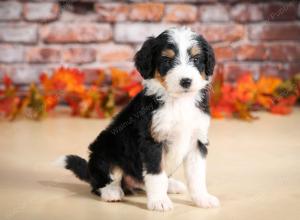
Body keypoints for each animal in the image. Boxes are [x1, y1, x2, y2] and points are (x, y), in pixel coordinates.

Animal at [57, 26, 219, 211]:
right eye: (167, 60)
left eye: (196, 59)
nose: (186, 81)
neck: (178, 102)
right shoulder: (152, 141)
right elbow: (156, 174)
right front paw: (159, 201)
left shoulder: (197, 141)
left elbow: (197, 175)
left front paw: (203, 198)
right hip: (105, 150)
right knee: (101, 182)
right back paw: (111, 192)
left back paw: (172, 185)